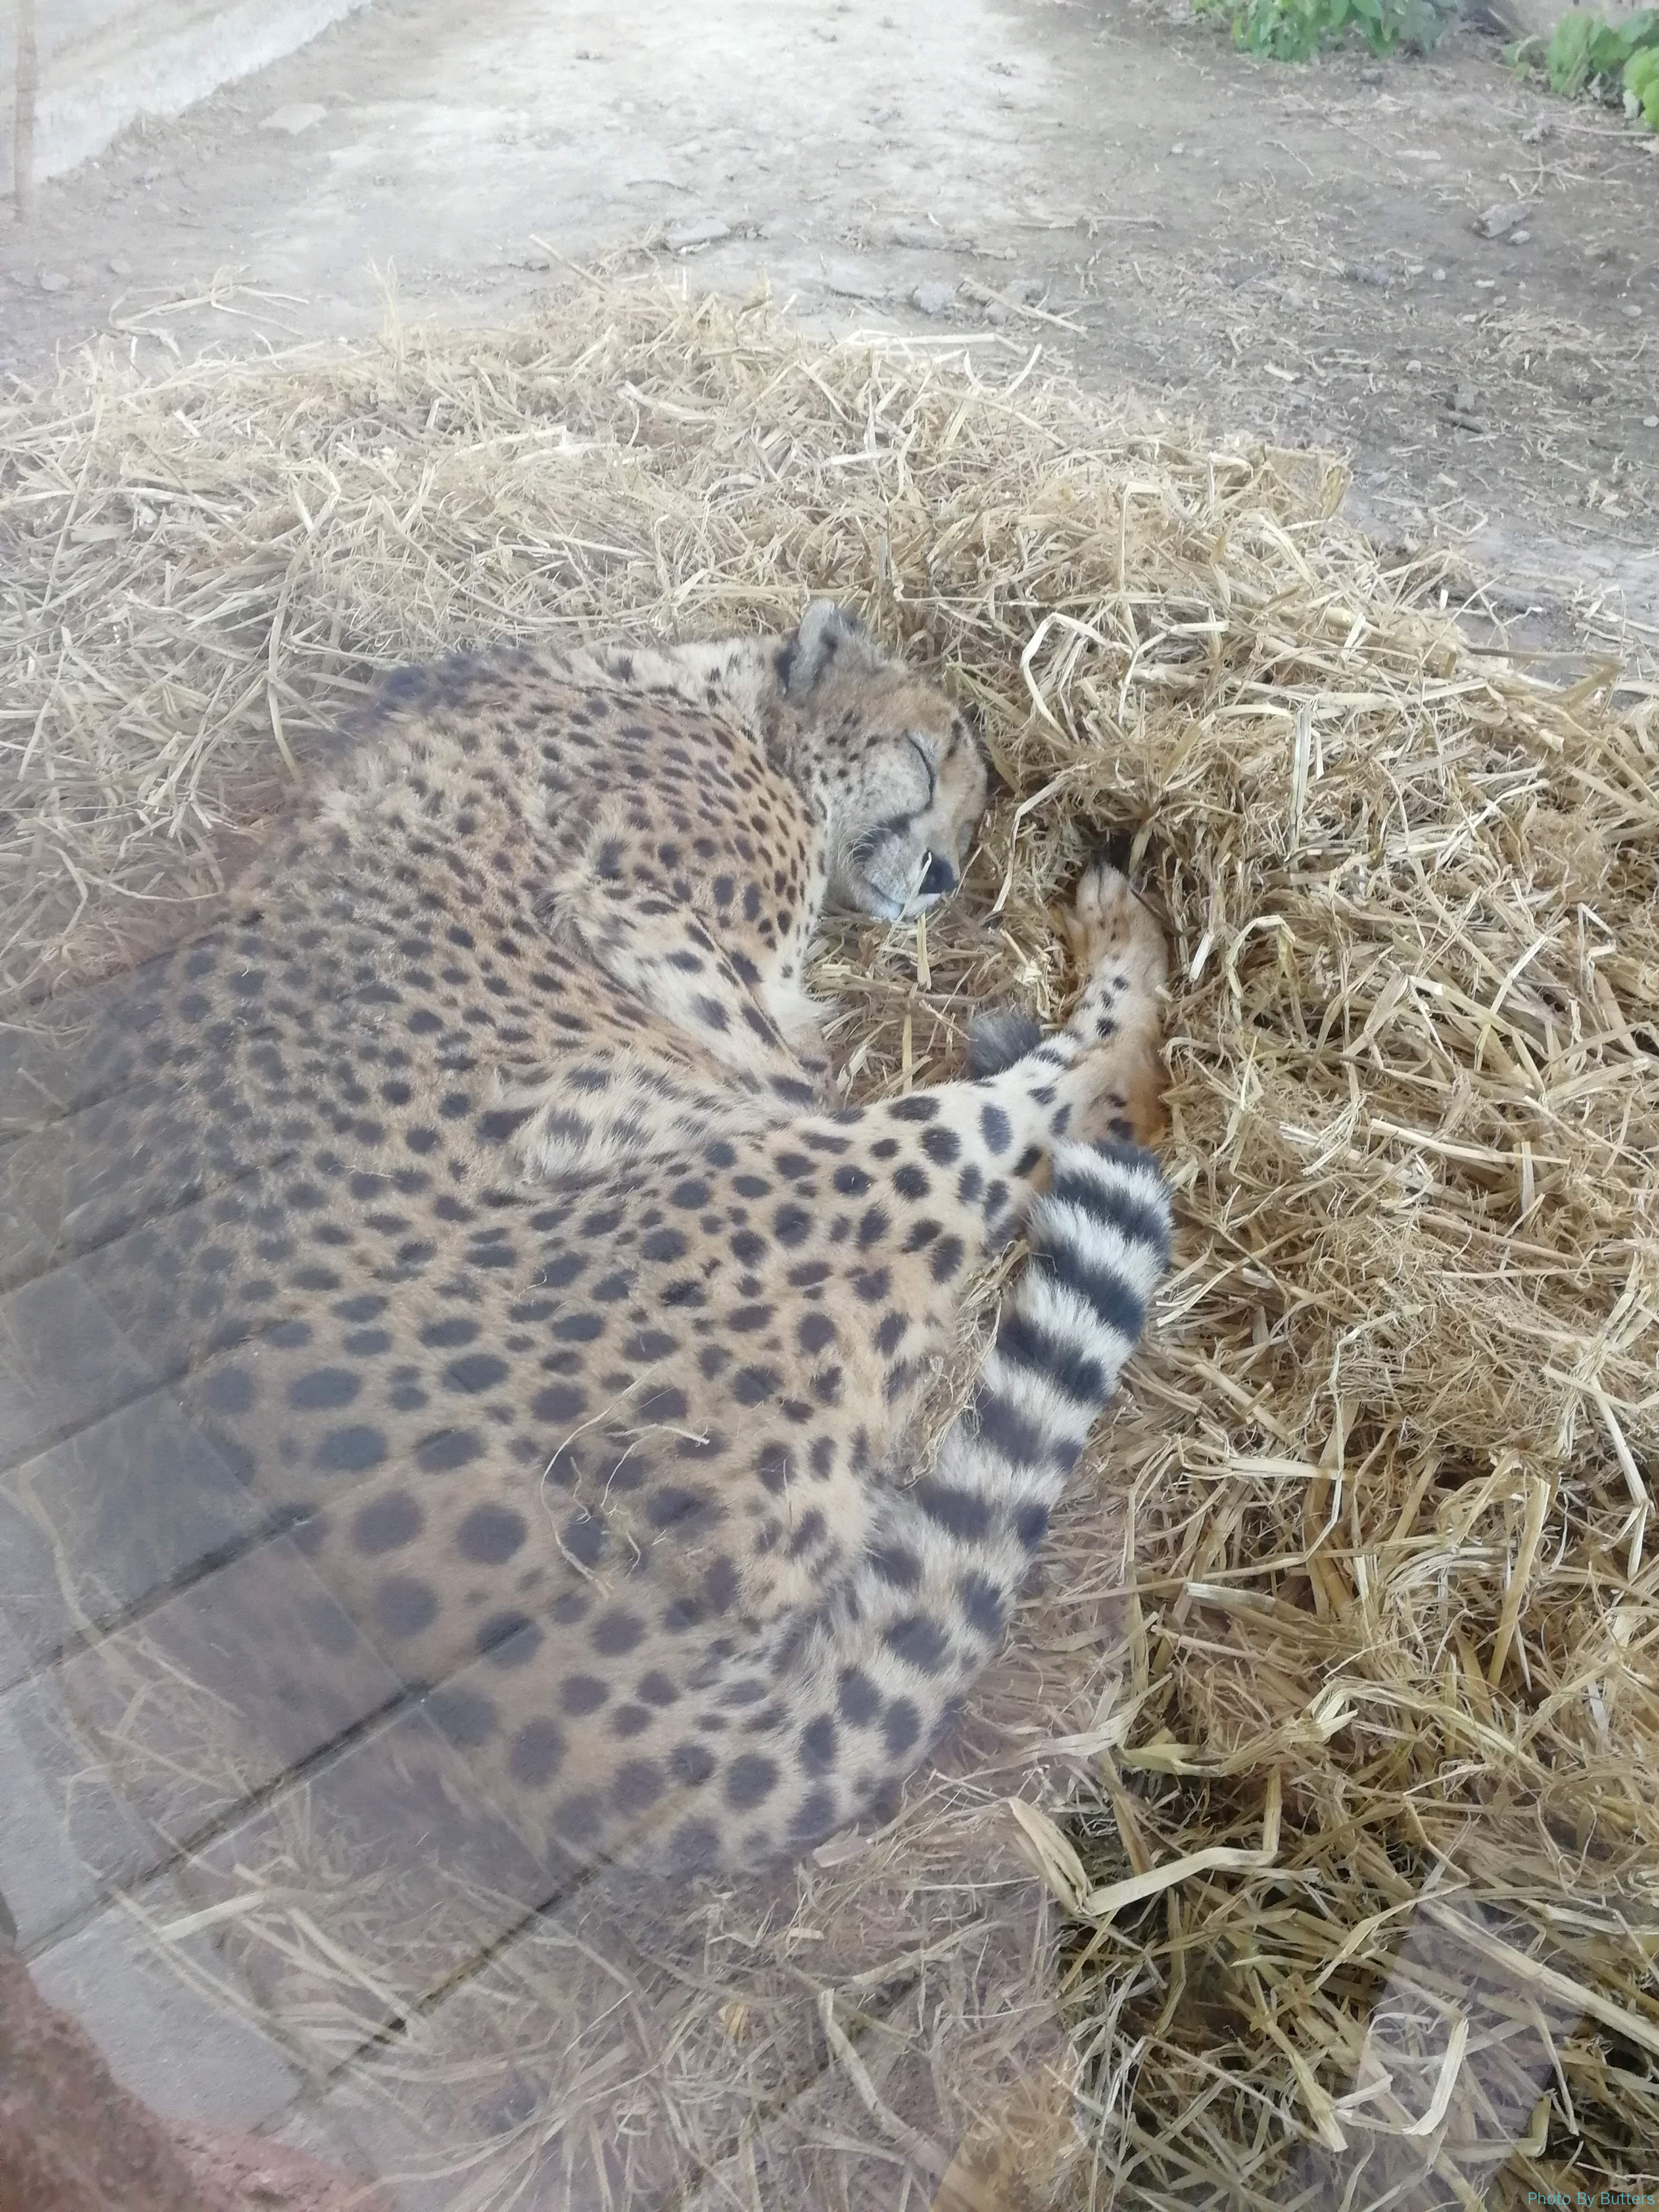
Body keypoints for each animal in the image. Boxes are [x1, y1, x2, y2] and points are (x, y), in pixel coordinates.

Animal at [35, 598, 1172, 1879]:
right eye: (930, 763)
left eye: (970, 827)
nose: (938, 876)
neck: (719, 697)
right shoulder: (685, 956)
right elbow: (785, 1051)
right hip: (781, 1173)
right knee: (1048, 1106)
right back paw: (1121, 945)